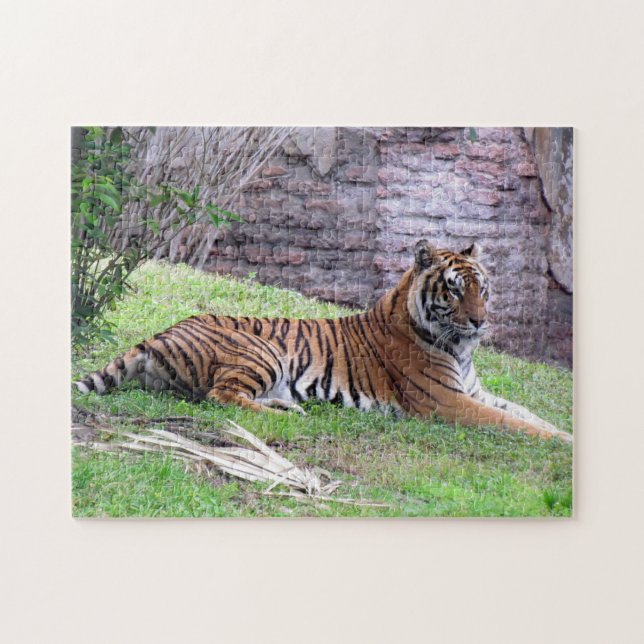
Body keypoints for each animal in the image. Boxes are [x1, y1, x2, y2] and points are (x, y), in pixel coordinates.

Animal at [75, 240, 572, 443]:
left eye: (481, 288)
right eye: (452, 290)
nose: (480, 323)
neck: (459, 348)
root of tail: (158, 333)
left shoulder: (473, 391)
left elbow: (529, 414)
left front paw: (565, 433)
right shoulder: (447, 402)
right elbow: (514, 424)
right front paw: (560, 445)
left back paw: (289, 407)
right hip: (261, 351)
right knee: (221, 396)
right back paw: (287, 414)